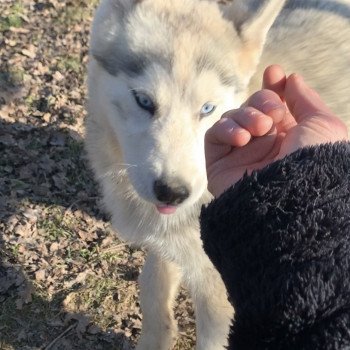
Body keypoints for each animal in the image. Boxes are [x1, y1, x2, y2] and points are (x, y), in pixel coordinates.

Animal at [85, 1, 350, 348]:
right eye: (143, 101)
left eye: (208, 109)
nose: (173, 192)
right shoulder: (166, 242)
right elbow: (152, 291)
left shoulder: (220, 303)